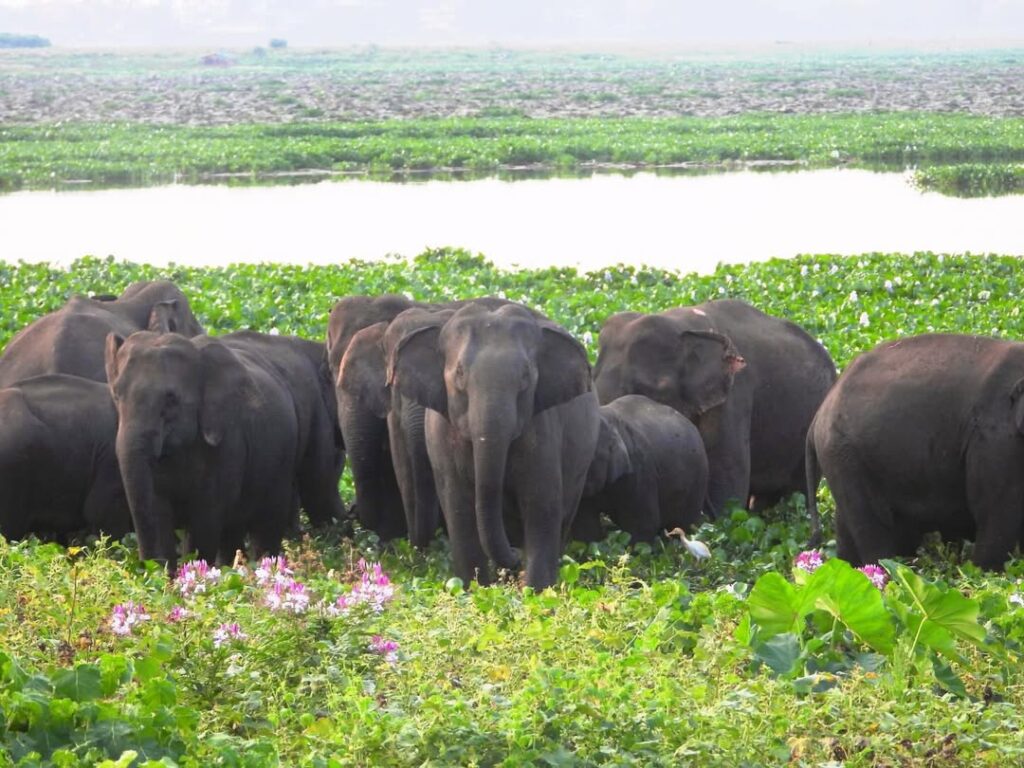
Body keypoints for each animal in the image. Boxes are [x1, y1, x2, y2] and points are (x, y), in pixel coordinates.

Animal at [104, 330, 342, 570]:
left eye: (171, 399)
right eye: (116, 394)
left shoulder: (228, 443)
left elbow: (206, 517)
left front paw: (193, 569)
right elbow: (155, 509)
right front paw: (160, 575)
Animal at [389, 302, 600, 589]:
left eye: (525, 376)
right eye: (459, 373)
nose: (514, 556)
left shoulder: (543, 431)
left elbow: (541, 506)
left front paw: (536, 591)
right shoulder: (443, 440)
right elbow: (458, 509)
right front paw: (475, 589)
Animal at [806, 333, 1024, 570]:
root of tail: (819, 413)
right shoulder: (994, 440)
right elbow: (995, 512)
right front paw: (982, 571)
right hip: (844, 456)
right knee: (871, 526)